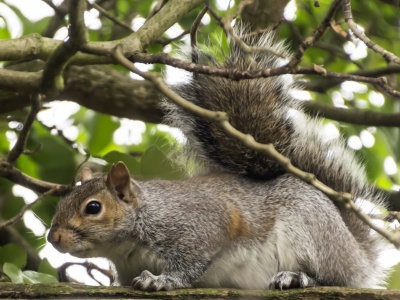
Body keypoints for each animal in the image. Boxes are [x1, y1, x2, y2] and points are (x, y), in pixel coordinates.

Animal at [47, 27, 388, 290]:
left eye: (93, 208)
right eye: (62, 202)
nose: (53, 237)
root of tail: (358, 254)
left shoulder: (201, 226)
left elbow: (192, 265)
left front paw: (163, 280)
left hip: (312, 233)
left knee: (335, 279)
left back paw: (297, 277)